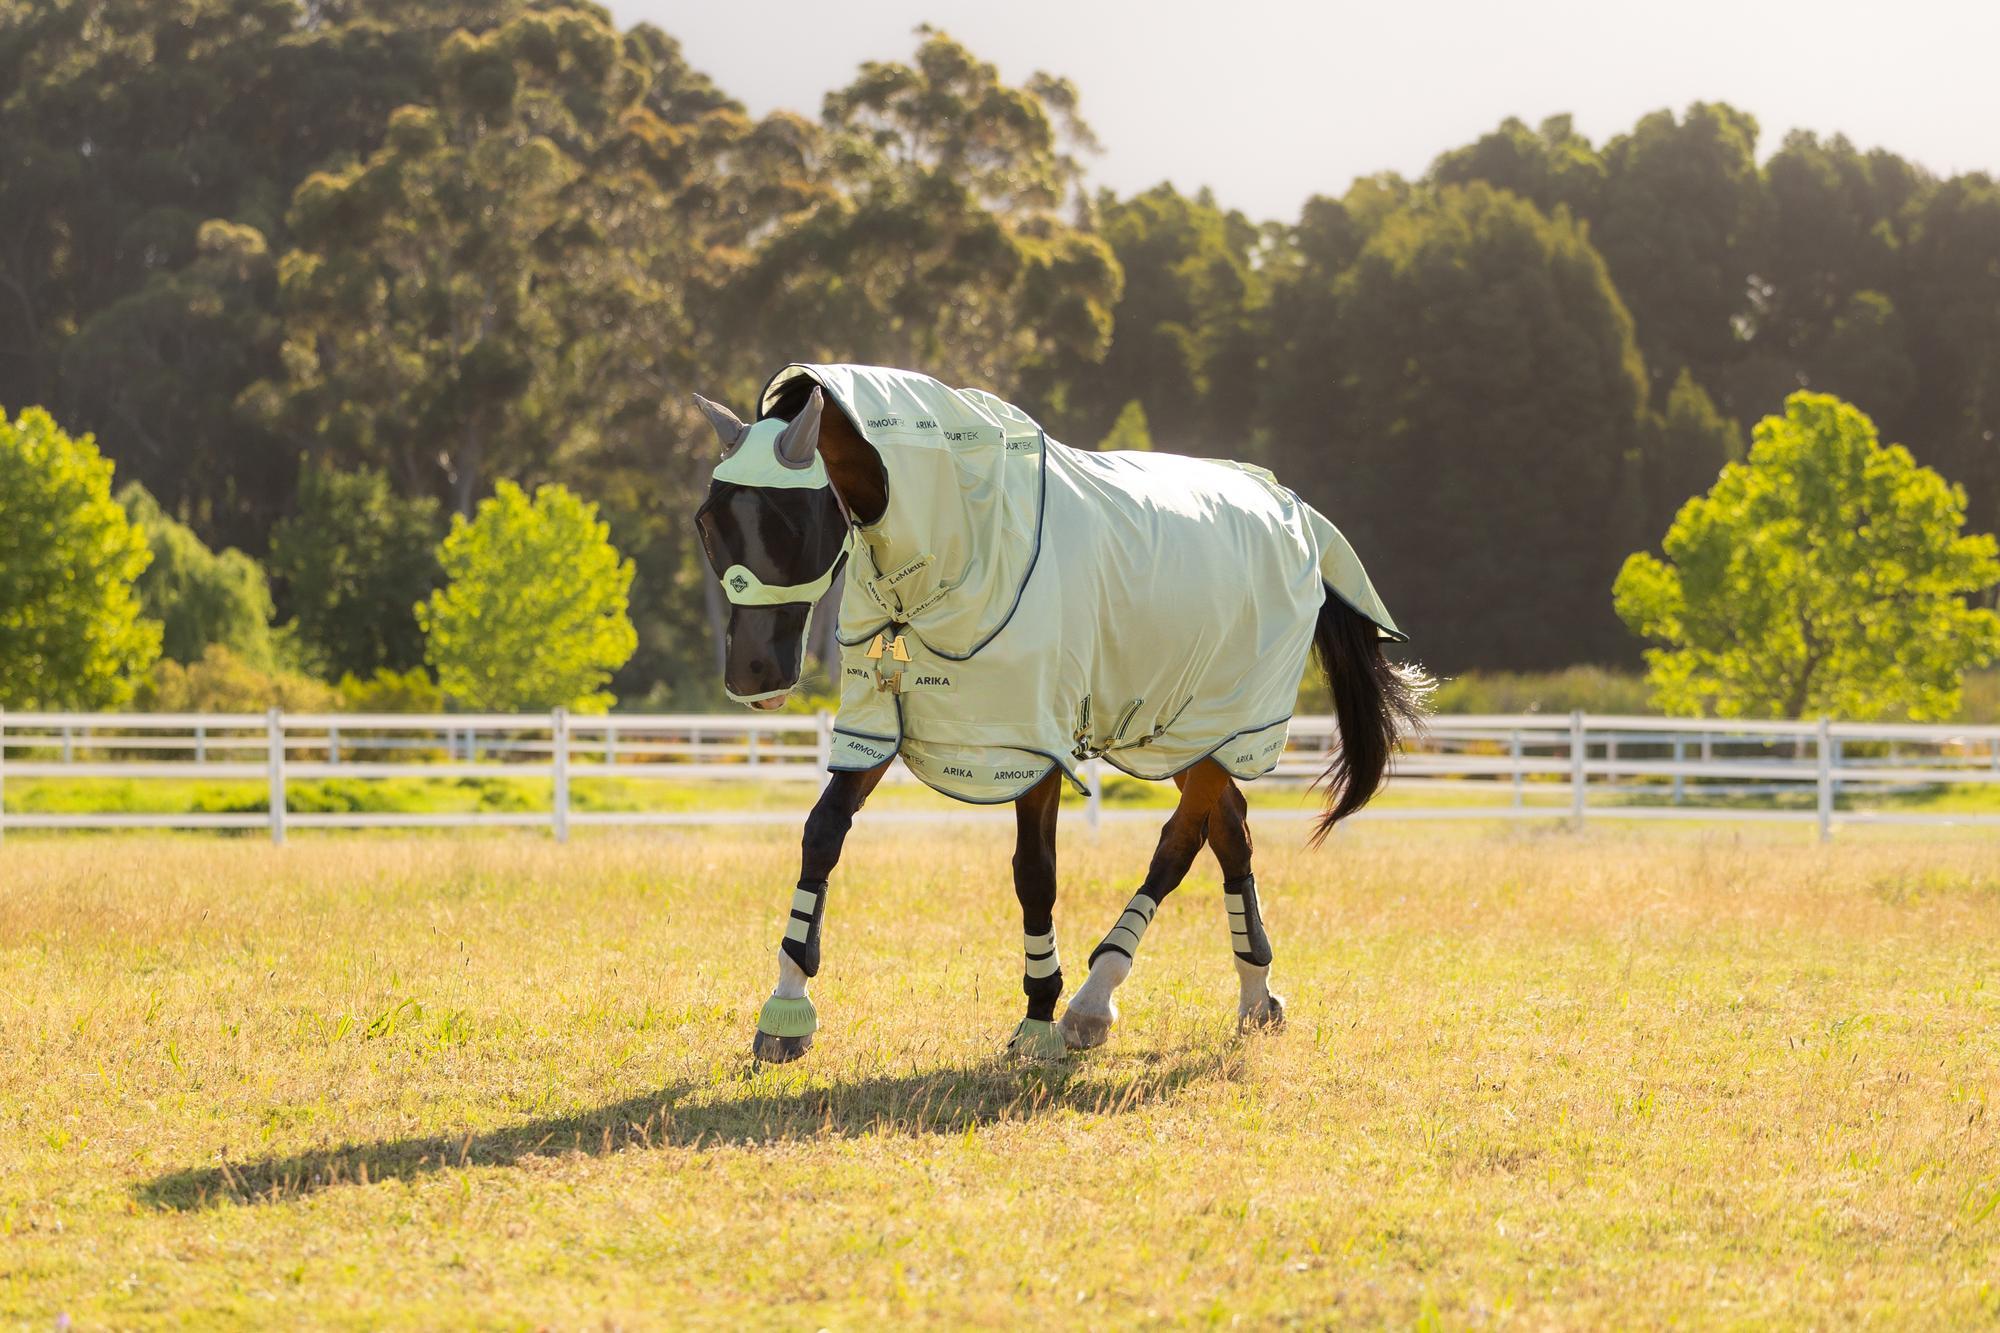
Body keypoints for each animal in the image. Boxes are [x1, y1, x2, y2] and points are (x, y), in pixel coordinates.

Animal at [692, 363, 1430, 1062]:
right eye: (709, 523)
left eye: (791, 522)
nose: (752, 677)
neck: (961, 536)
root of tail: (1293, 511)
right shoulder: (875, 725)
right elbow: (822, 834)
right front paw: (785, 1010)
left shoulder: (1026, 746)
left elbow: (1035, 873)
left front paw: (1039, 1017)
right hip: (1187, 732)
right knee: (1231, 834)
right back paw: (1256, 996)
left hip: (1226, 720)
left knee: (1179, 843)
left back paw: (1093, 1002)